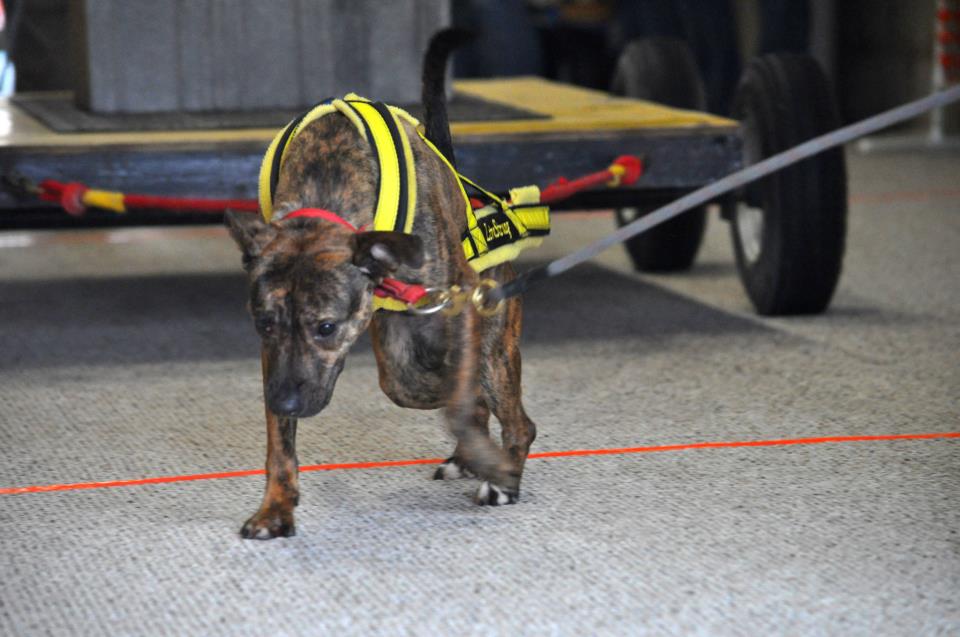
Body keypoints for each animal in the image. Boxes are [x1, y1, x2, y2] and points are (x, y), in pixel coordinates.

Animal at [227, 28, 540, 536]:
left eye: (326, 327)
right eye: (264, 324)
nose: (285, 401)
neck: (327, 189)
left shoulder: (460, 306)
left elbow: (458, 399)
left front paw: (492, 465)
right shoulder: (272, 357)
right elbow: (280, 446)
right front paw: (275, 507)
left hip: (492, 343)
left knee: (509, 414)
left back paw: (500, 474)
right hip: (401, 348)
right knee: (426, 385)